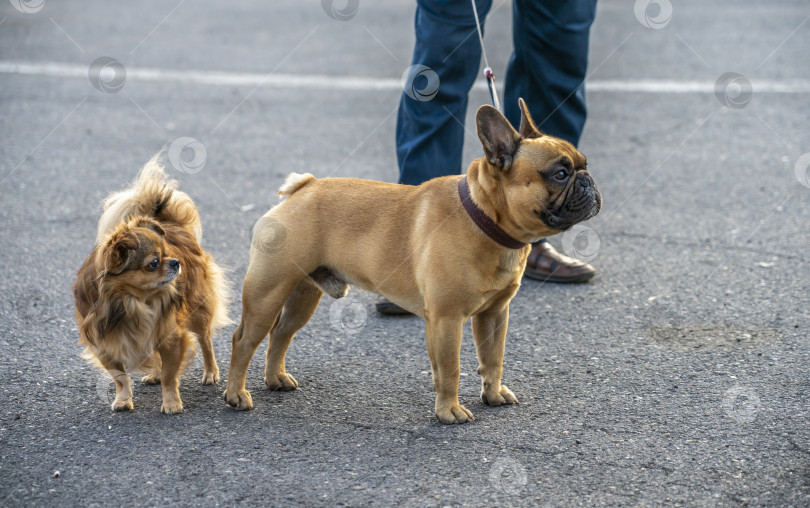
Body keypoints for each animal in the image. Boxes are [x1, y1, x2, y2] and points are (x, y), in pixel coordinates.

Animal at [74, 157, 229, 414]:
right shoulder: (106, 345)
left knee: (205, 340)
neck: (134, 301)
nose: (176, 262)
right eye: (154, 263)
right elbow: (120, 378)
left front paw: (171, 403)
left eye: (169, 252)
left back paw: (210, 373)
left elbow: (169, 374)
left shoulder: (172, 335)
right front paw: (123, 400)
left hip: (197, 309)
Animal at [224, 98, 596, 420]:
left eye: (584, 165)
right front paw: (449, 411)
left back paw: (276, 379)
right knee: (244, 340)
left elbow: (492, 359)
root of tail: (303, 188)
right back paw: (236, 395)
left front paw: (492, 394)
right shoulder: (447, 318)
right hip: (267, 292)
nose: (588, 182)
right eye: (560, 174)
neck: (484, 217)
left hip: (304, 293)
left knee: (281, 333)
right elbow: (451, 368)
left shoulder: (494, 315)